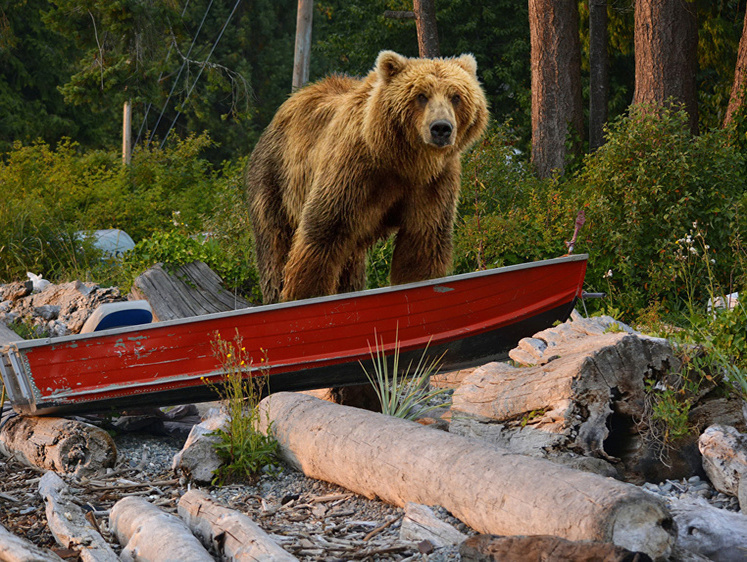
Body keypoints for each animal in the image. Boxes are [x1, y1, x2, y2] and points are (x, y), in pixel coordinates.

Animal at [247, 49, 490, 302]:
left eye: (456, 96)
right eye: (421, 96)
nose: (441, 128)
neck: (405, 161)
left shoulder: (433, 183)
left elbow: (422, 244)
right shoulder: (354, 171)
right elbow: (323, 233)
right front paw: (304, 294)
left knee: (350, 264)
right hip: (275, 178)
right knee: (275, 243)